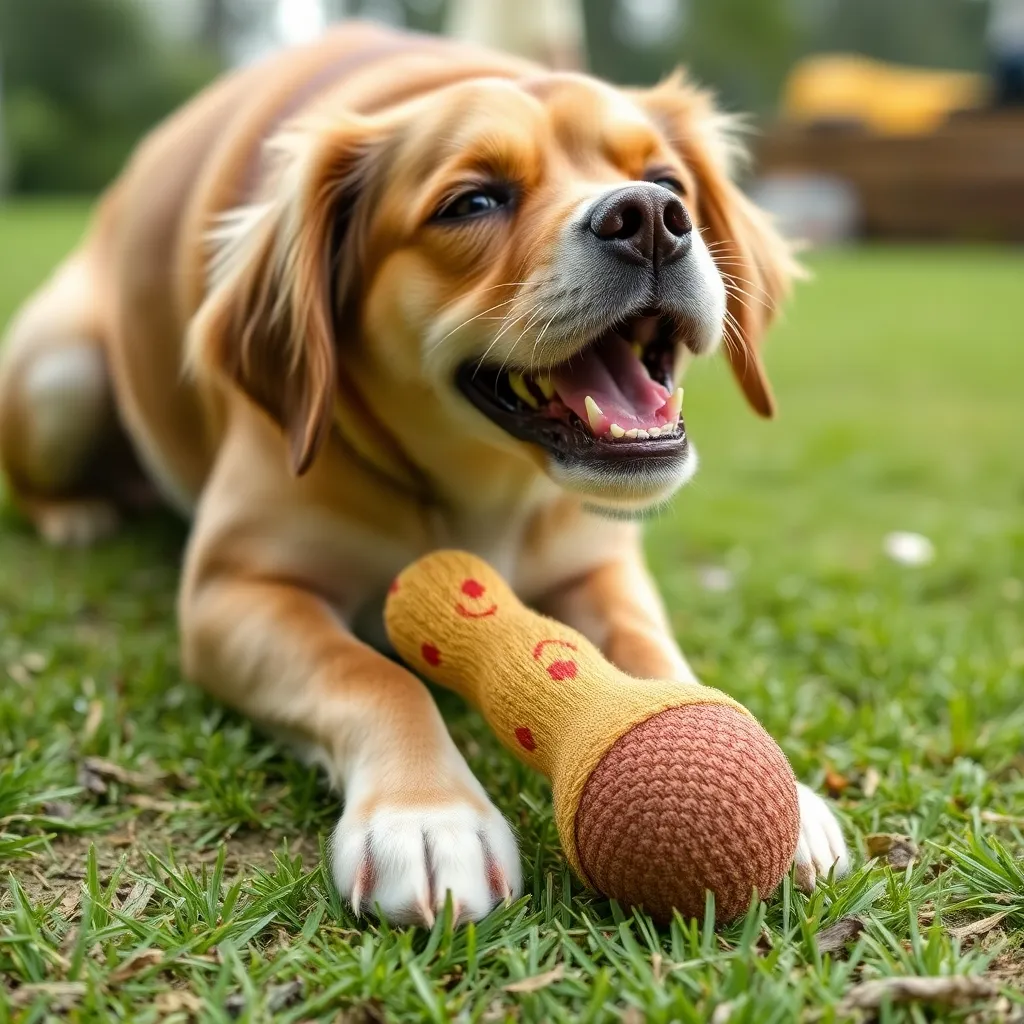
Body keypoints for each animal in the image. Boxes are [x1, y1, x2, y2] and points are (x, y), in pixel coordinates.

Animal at [0, 22, 847, 921]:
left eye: (666, 180)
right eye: (472, 202)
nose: (651, 217)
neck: (487, 489)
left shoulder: (600, 567)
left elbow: (653, 652)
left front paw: (786, 789)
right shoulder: (235, 590)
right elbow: (375, 675)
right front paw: (429, 813)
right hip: (59, 372)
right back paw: (81, 514)